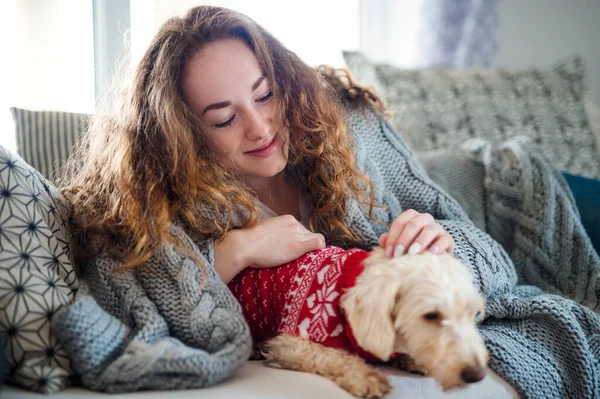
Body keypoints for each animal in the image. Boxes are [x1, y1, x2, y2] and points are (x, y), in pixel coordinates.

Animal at [227, 247, 490, 396]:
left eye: (472, 314)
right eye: (431, 315)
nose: (477, 375)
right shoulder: (291, 343)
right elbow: (332, 356)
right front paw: (365, 376)